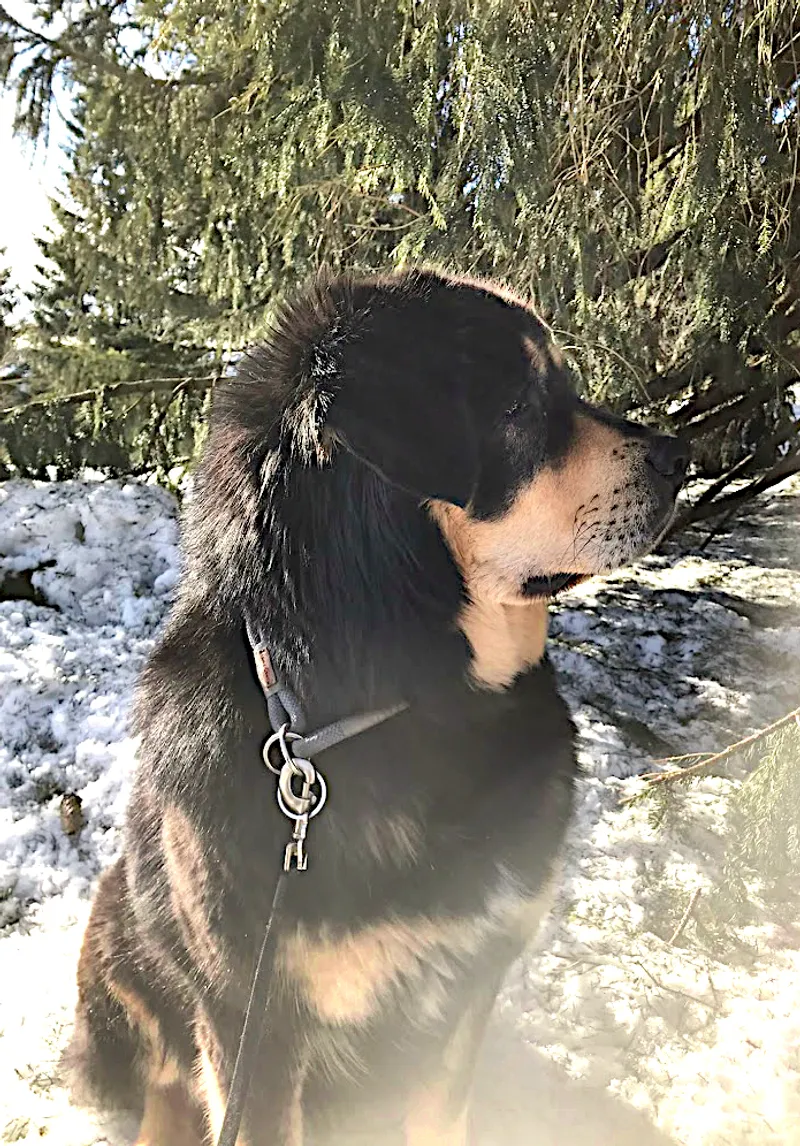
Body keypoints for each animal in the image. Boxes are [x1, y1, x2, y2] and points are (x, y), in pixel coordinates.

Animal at [67, 268, 687, 1145]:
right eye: (515, 405)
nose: (683, 457)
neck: (413, 711)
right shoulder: (252, 1020)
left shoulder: (469, 985)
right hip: (125, 940)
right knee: (164, 1083)